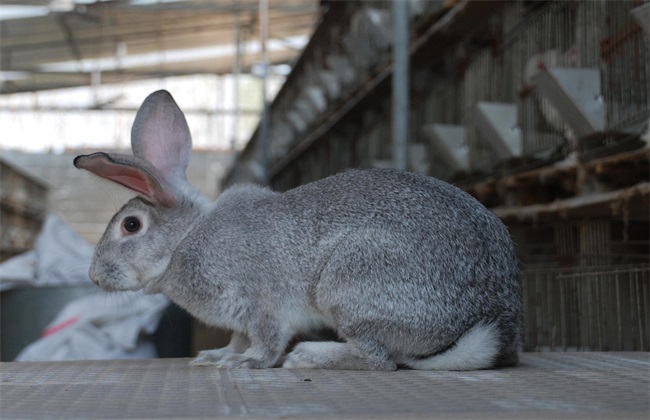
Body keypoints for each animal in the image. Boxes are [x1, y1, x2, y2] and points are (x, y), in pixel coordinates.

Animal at [74, 89, 520, 370]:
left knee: (380, 361)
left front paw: (246, 363)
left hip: (350, 284)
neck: (185, 240)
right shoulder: (240, 320)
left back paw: (309, 357)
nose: (94, 276)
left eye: (131, 225)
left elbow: (267, 339)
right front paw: (218, 357)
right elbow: (238, 338)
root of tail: (487, 317)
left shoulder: (261, 303)